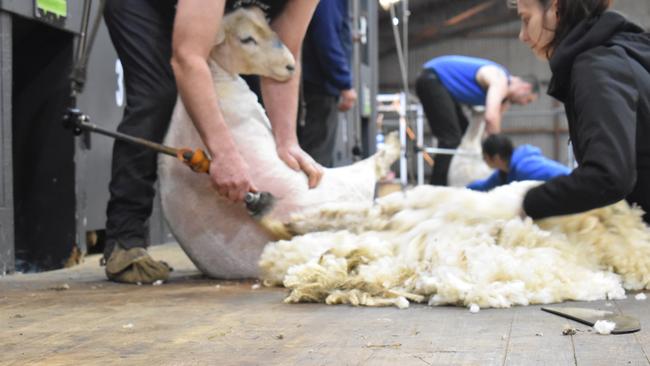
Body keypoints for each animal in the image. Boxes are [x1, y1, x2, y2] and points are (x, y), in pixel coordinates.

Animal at [158, 7, 400, 278]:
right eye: (246, 39)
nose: (290, 66)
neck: (216, 75)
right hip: (340, 189)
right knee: (370, 170)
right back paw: (391, 147)